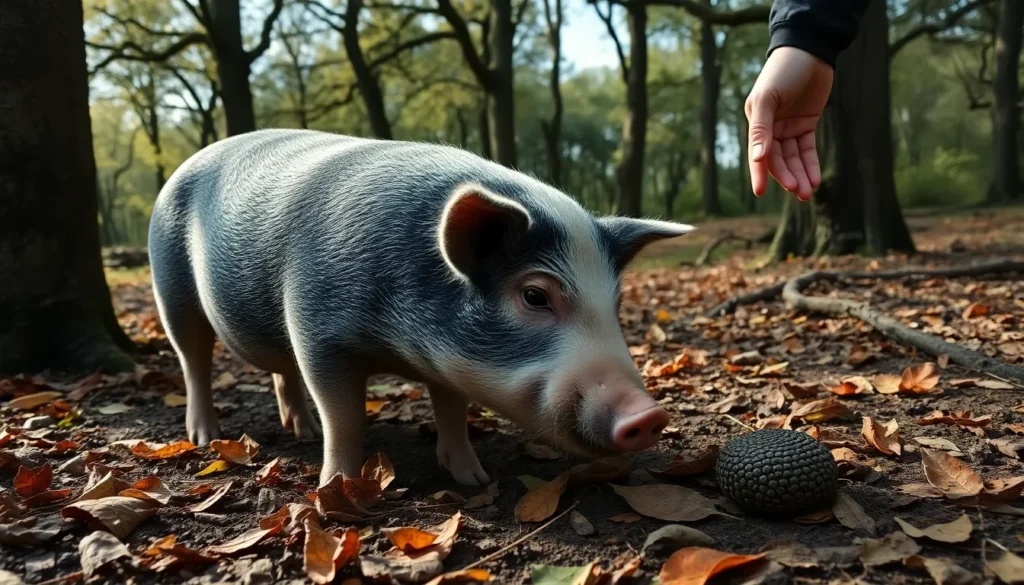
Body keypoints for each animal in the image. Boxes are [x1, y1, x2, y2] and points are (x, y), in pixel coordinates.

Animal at [148, 128, 694, 487]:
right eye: (535, 295)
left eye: (616, 301)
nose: (649, 414)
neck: (397, 344)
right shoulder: (316, 326)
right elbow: (345, 416)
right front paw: (336, 488)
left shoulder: (444, 361)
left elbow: (451, 408)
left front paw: (473, 480)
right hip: (171, 287)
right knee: (193, 358)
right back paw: (204, 436)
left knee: (282, 372)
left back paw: (301, 430)